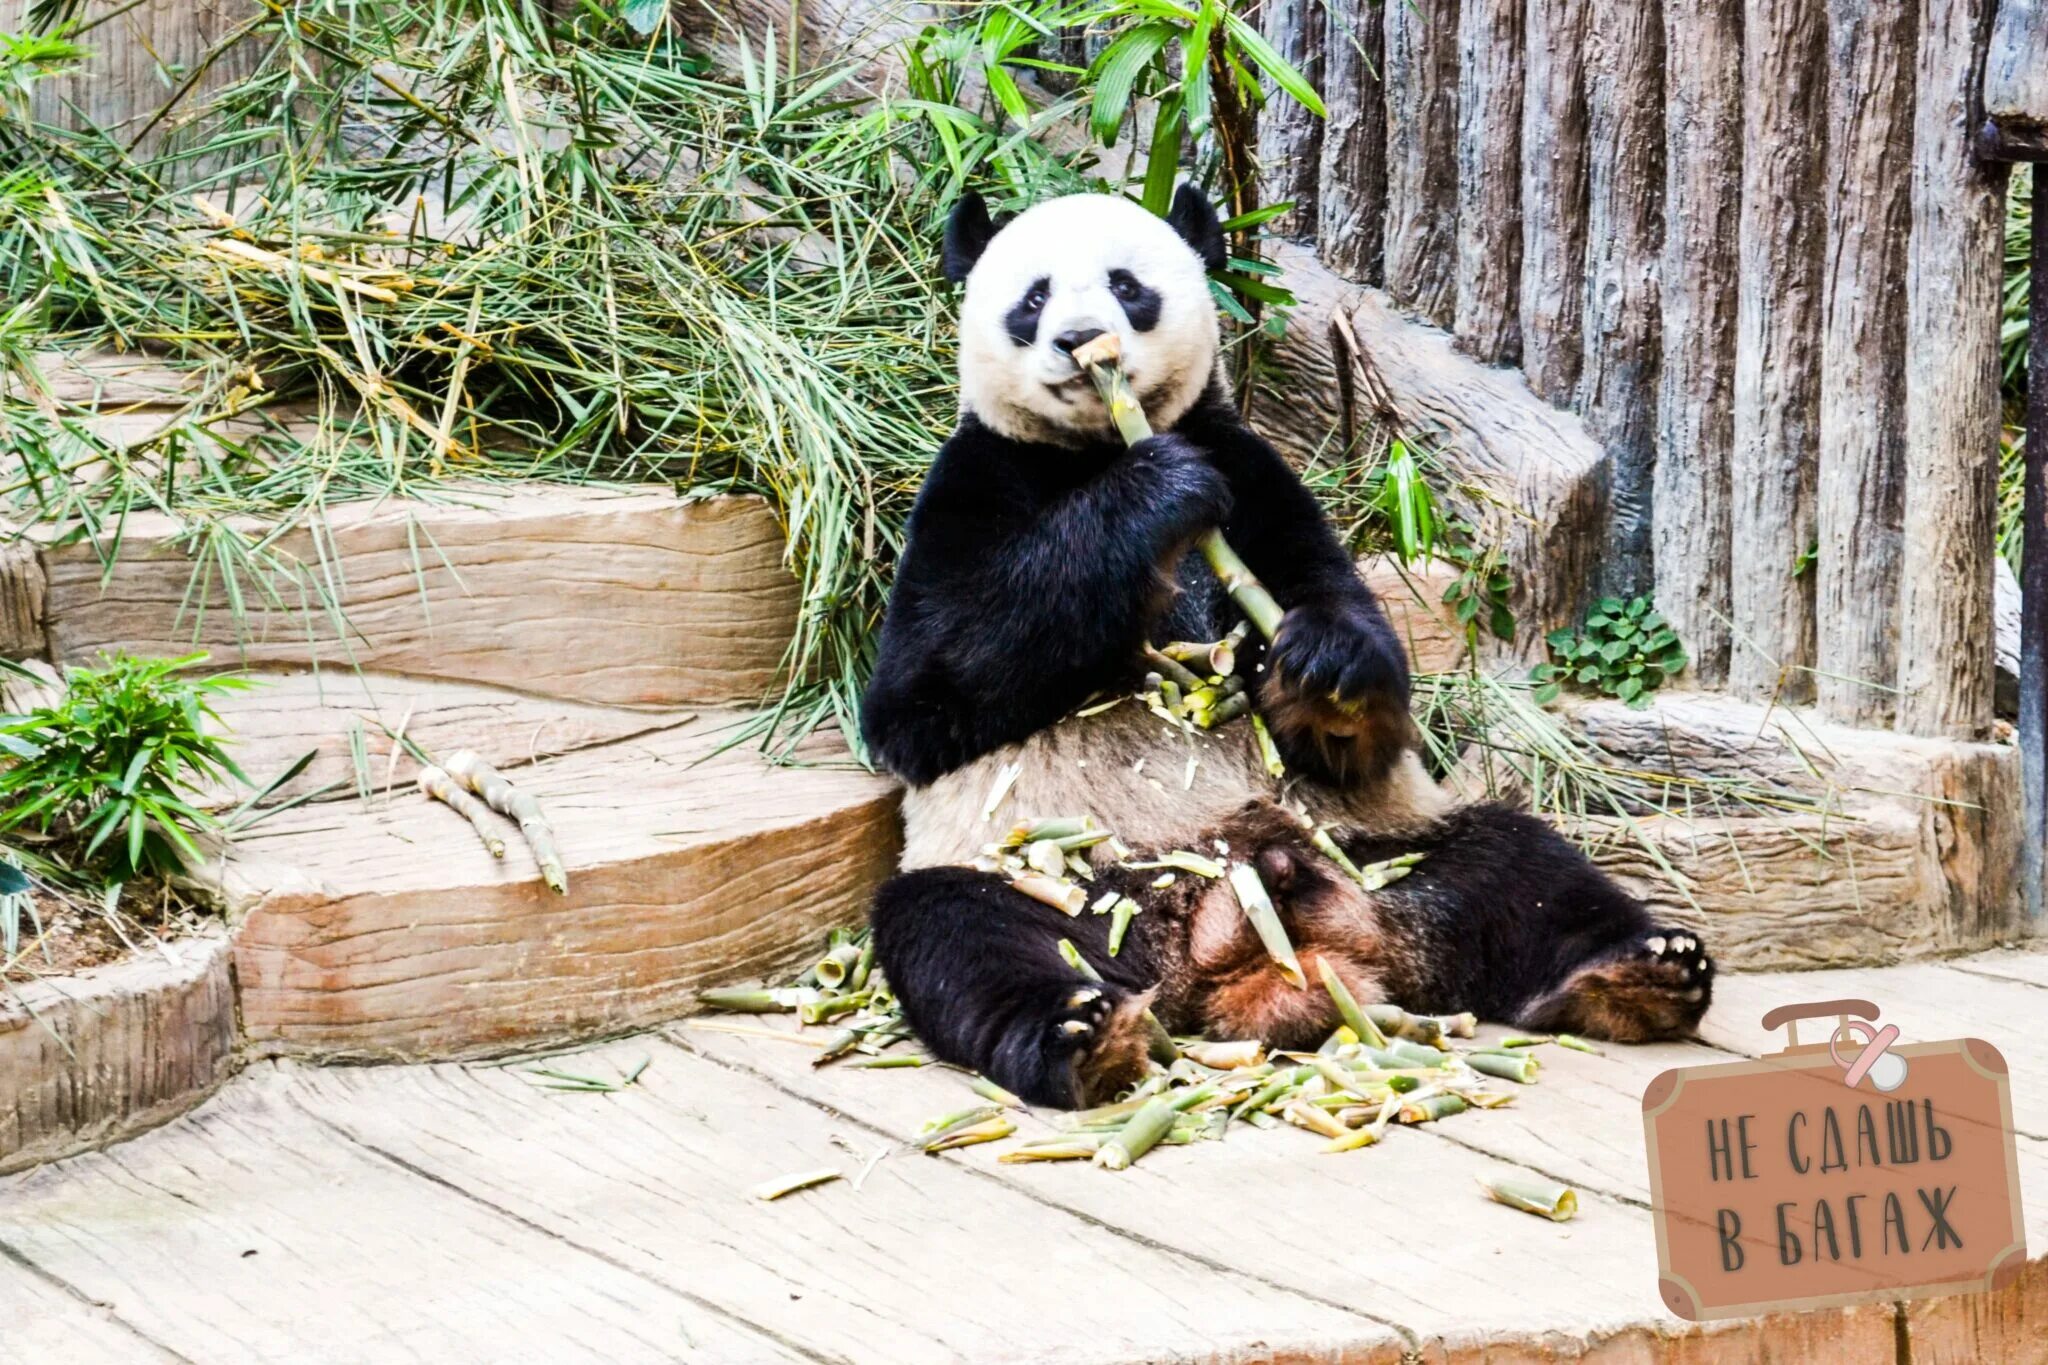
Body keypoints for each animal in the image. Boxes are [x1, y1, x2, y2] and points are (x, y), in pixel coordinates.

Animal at [856, 187, 1720, 1113]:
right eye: (1033, 297)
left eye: (1126, 286)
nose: (1082, 341)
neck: (1100, 445)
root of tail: (1219, 934)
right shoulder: (973, 481)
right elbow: (928, 694)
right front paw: (1156, 494)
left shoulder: (1253, 469)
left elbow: (1339, 630)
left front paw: (1324, 674)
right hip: (1057, 874)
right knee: (968, 936)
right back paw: (1083, 1035)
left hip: (1377, 844)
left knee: (1520, 868)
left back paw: (1637, 974)